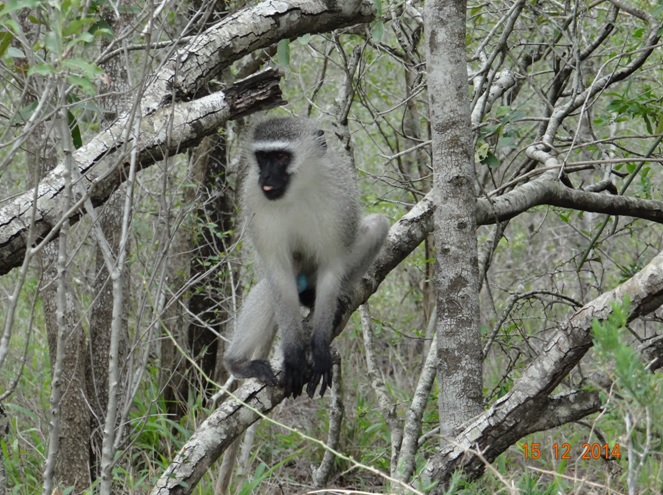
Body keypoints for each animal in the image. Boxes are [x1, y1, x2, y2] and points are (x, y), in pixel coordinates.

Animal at [226, 118, 390, 402]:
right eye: (262, 157)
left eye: (281, 157)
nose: (265, 177)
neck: (297, 190)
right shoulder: (256, 200)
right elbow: (278, 273)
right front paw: (293, 356)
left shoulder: (339, 202)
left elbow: (332, 265)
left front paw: (319, 348)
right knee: (275, 281)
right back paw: (238, 363)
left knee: (378, 226)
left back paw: (320, 298)